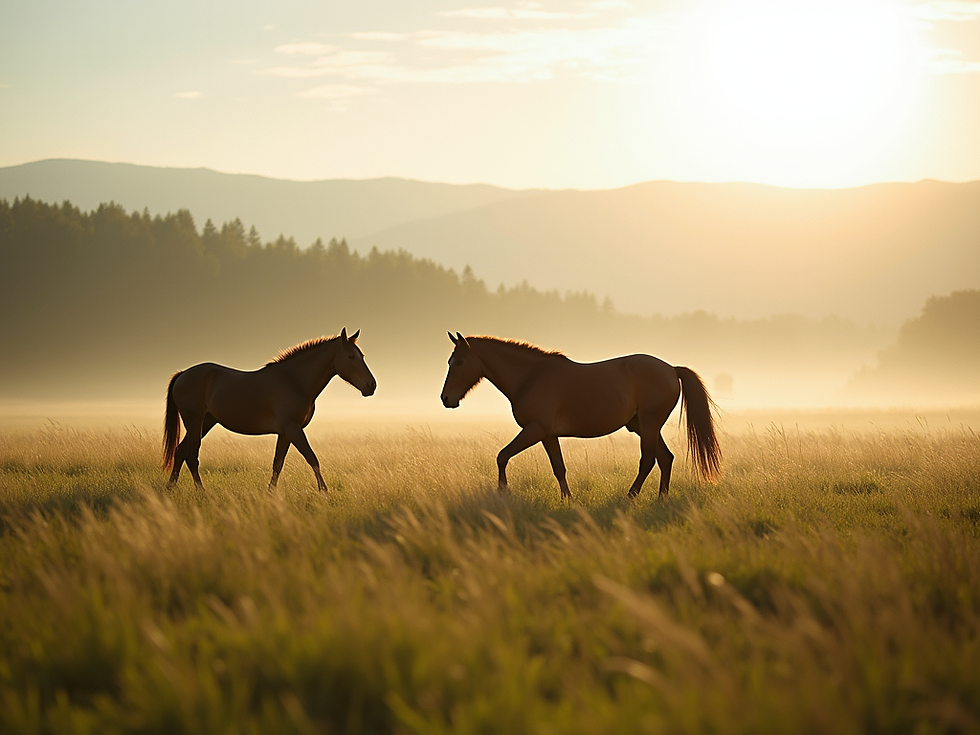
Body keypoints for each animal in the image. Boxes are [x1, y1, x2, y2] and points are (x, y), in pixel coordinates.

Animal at [163, 328, 376, 491]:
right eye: (350, 356)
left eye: (362, 356)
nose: (371, 385)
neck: (294, 381)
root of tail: (183, 374)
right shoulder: (293, 429)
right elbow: (312, 459)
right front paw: (324, 492)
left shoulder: (285, 433)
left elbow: (278, 464)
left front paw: (271, 494)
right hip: (194, 422)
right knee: (191, 456)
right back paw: (201, 492)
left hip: (205, 422)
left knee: (180, 451)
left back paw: (170, 488)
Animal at [440, 333, 720, 499]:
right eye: (450, 361)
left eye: (460, 362)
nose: (446, 399)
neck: (531, 378)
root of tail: (671, 369)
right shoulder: (548, 435)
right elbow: (558, 467)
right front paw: (567, 499)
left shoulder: (535, 429)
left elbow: (502, 456)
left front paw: (503, 492)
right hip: (643, 426)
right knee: (665, 458)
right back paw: (661, 498)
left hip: (649, 426)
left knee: (649, 460)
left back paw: (631, 497)